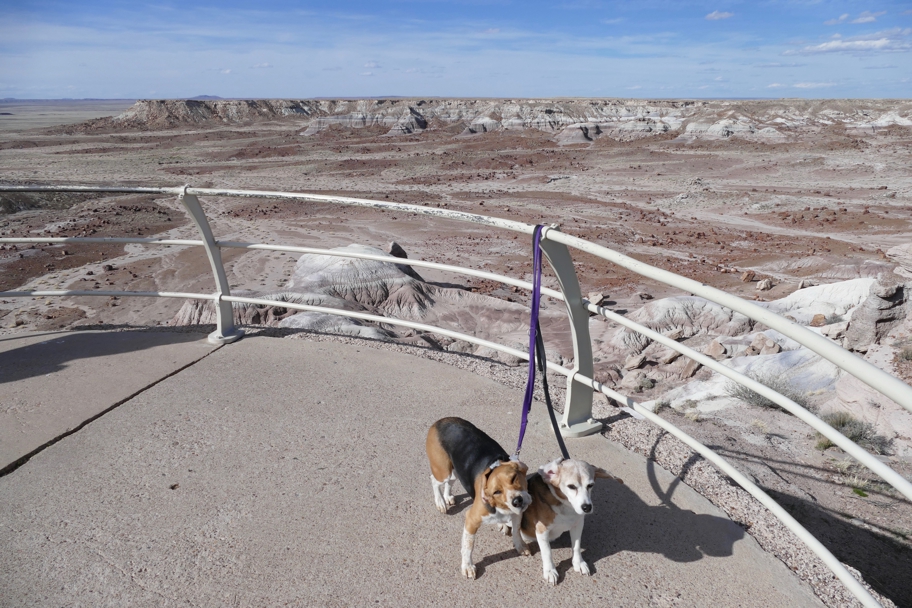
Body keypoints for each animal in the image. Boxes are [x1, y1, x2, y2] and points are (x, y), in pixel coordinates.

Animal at [428, 418, 536, 580]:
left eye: (514, 478)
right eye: (496, 491)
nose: (517, 501)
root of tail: (440, 421)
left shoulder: (517, 514)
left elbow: (516, 531)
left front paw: (520, 546)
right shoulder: (471, 520)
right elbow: (468, 546)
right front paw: (467, 566)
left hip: (456, 471)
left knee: (450, 482)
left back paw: (447, 497)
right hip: (443, 471)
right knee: (434, 480)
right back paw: (440, 502)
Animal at [510, 456, 624, 584]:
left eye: (590, 485)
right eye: (571, 486)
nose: (587, 507)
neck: (565, 505)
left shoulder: (578, 525)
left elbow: (577, 546)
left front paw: (578, 563)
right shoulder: (542, 530)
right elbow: (547, 552)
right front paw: (550, 571)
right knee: (515, 530)